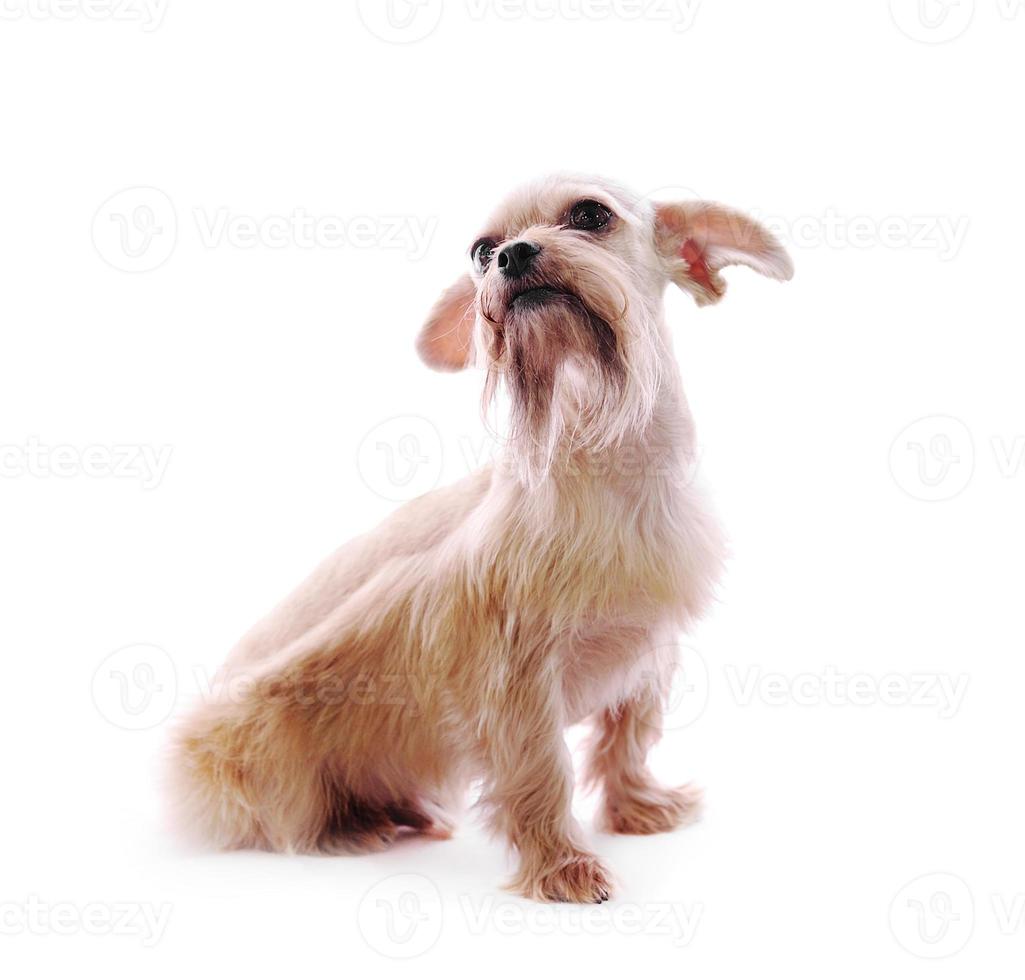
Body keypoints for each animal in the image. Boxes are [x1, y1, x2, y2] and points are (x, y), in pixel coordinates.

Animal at [170, 174, 791, 902]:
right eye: (481, 251)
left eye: (590, 215)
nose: (512, 256)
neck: (603, 449)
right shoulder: (513, 679)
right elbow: (541, 771)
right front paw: (562, 865)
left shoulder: (648, 654)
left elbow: (627, 740)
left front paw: (637, 806)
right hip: (262, 734)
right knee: (285, 815)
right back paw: (351, 826)